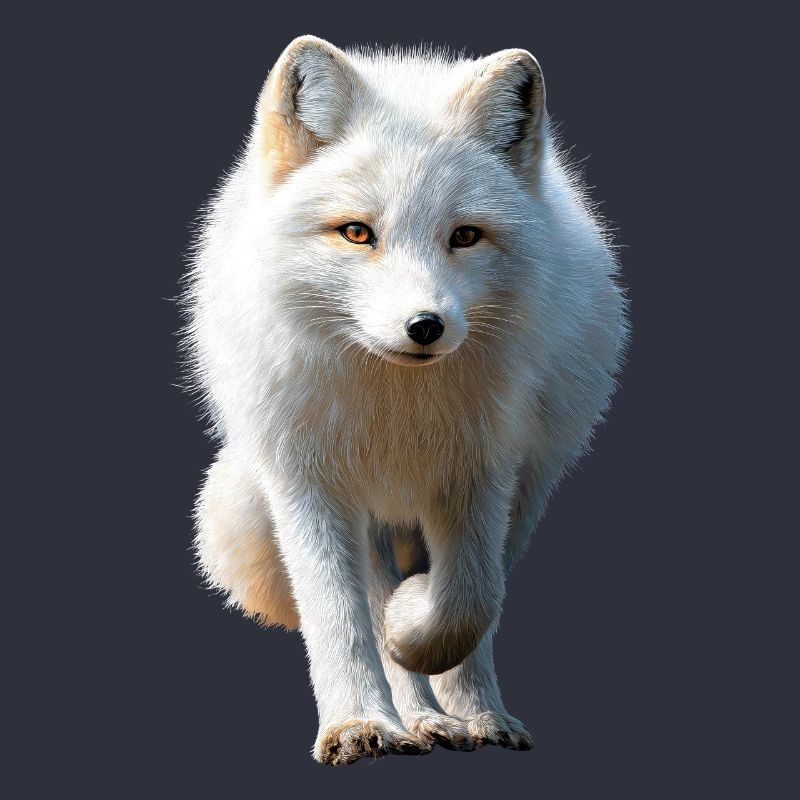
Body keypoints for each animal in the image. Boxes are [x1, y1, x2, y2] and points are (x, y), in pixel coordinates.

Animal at [181, 35, 629, 765]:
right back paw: (413, 717)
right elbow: (339, 614)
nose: (426, 327)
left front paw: (420, 642)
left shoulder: (482, 469)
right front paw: (359, 722)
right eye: (357, 233)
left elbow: (470, 601)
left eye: (465, 236)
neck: (397, 408)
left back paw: (466, 715)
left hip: (529, 488)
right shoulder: (310, 479)